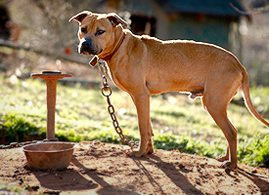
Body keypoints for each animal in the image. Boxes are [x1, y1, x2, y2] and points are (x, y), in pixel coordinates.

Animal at [69, 11, 268, 171]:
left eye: (100, 31)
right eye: (83, 29)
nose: (85, 44)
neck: (120, 47)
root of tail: (238, 63)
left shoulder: (141, 96)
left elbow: (142, 127)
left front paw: (139, 153)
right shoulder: (141, 98)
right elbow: (148, 127)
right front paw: (148, 151)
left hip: (214, 104)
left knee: (231, 132)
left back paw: (232, 165)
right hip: (217, 104)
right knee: (231, 132)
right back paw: (226, 158)